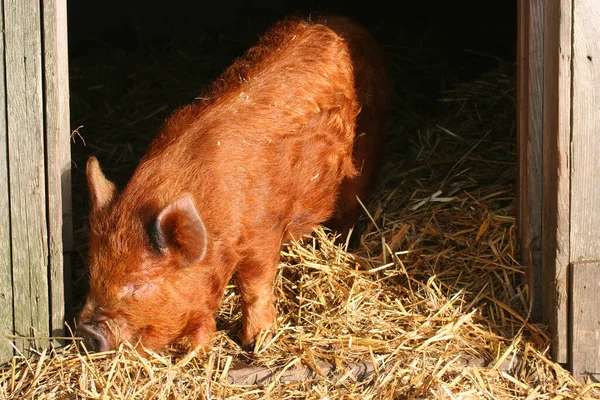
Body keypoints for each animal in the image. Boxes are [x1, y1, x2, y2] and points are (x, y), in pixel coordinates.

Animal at [77, 15, 392, 354]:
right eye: (94, 272)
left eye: (136, 284)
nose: (88, 331)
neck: (212, 210)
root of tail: (345, 22)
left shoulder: (263, 233)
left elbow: (254, 286)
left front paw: (258, 342)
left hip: (365, 151)